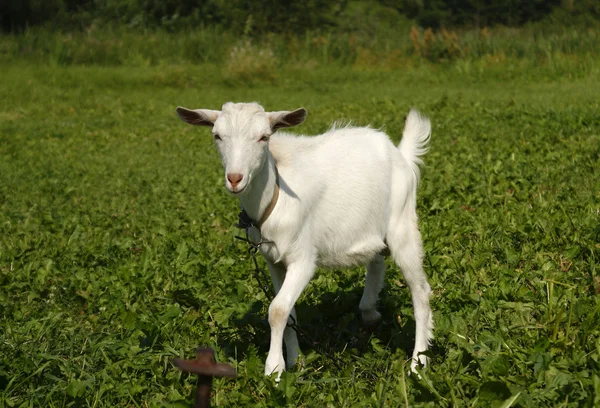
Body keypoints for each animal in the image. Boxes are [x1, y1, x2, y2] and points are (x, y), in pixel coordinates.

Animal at [176, 103, 434, 380]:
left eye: (264, 137)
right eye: (217, 136)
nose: (235, 178)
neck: (275, 196)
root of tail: (400, 154)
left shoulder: (302, 258)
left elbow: (277, 310)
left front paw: (274, 370)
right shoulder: (273, 261)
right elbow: (288, 312)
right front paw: (296, 361)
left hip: (403, 223)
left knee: (420, 292)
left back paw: (418, 362)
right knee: (376, 260)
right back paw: (370, 312)